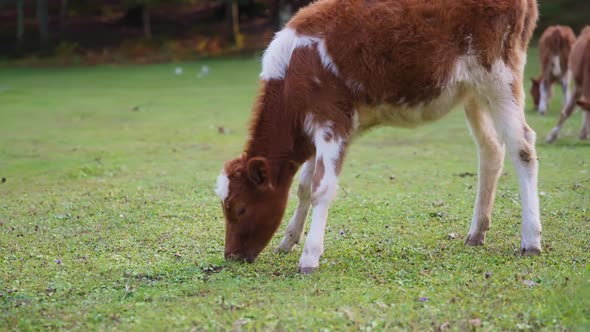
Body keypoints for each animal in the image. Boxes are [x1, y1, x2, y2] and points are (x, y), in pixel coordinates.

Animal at [215, 0, 544, 274]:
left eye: (240, 208)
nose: (231, 255)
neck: (293, 72)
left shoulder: (332, 123)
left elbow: (322, 187)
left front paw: (309, 256)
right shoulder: (314, 132)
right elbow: (305, 186)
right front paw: (288, 240)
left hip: (500, 76)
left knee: (523, 147)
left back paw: (531, 239)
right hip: (473, 92)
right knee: (491, 150)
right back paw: (476, 233)